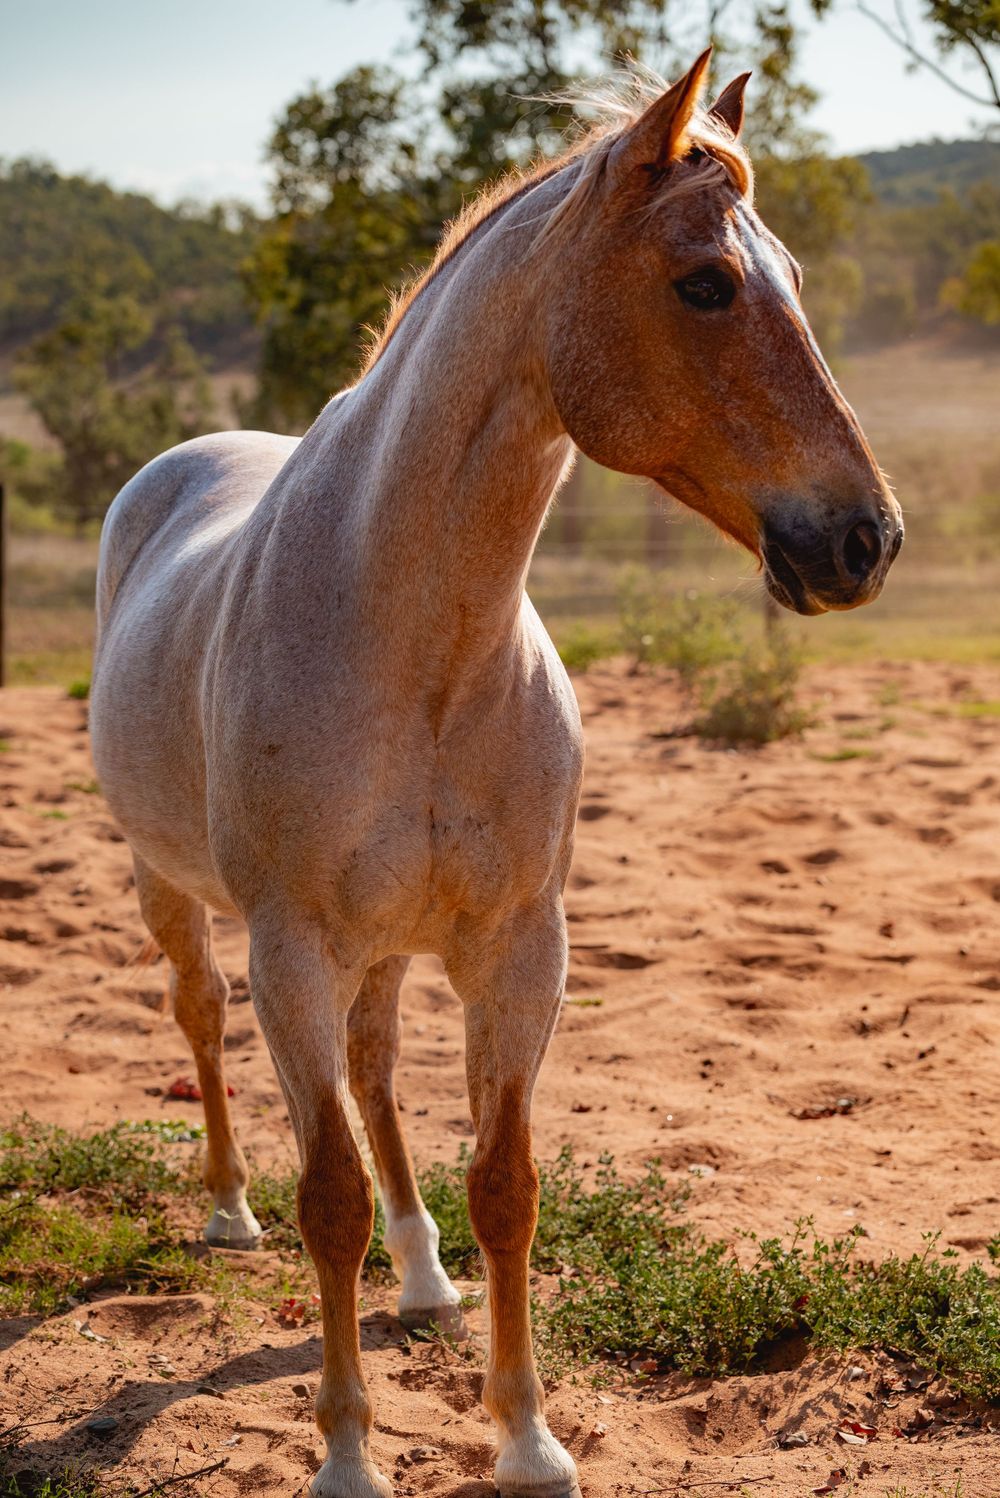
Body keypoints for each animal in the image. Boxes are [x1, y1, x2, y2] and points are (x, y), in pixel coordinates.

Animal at [90, 52, 902, 1498]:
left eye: (793, 275)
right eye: (705, 282)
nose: (865, 538)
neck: (412, 637)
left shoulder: (519, 946)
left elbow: (505, 1184)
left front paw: (526, 1438)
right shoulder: (290, 948)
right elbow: (327, 1197)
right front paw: (346, 1457)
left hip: (385, 944)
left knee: (370, 1067)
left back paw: (423, 1279)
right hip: (176, 890)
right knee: (200, 1017)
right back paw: (228, 1208)